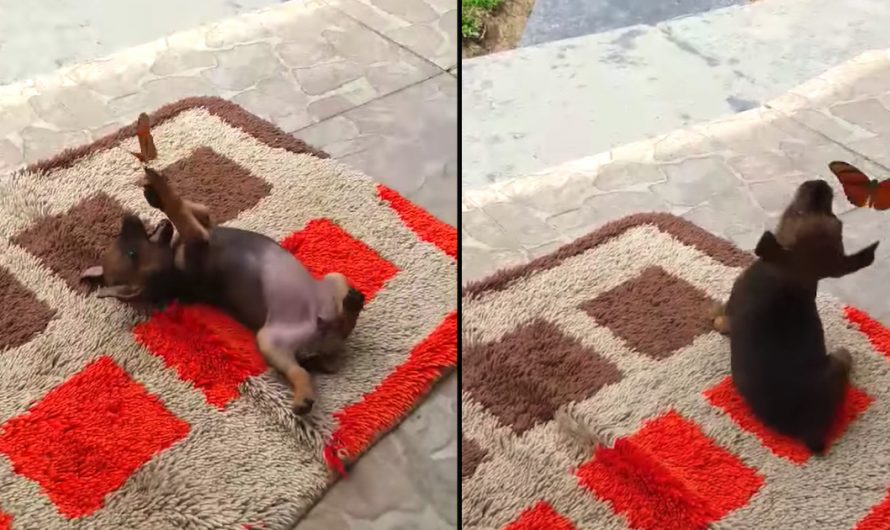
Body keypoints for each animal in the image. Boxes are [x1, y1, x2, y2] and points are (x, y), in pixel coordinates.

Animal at [712, 179, 876, 452]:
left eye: (795, 213)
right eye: (836, 219)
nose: (820, 184)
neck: (791, 278)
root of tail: (811, 433)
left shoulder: (733, 304)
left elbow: (722, 317)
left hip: (834, 363)